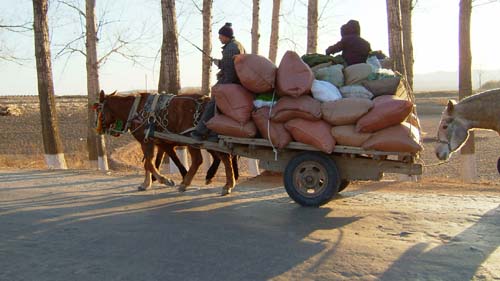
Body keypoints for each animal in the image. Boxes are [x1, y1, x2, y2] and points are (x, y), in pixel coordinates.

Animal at [98, 90, 238, 195]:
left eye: (99, 111)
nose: (99, 129)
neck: (136, 109)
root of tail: (208, 101)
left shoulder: (147, 142)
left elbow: (149, 163)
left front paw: (164, 180)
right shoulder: (159, 143)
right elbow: (153, 162)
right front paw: (147, 183)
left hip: (193, 139)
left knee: (203, 159)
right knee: (222, 157)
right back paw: (220, 180)